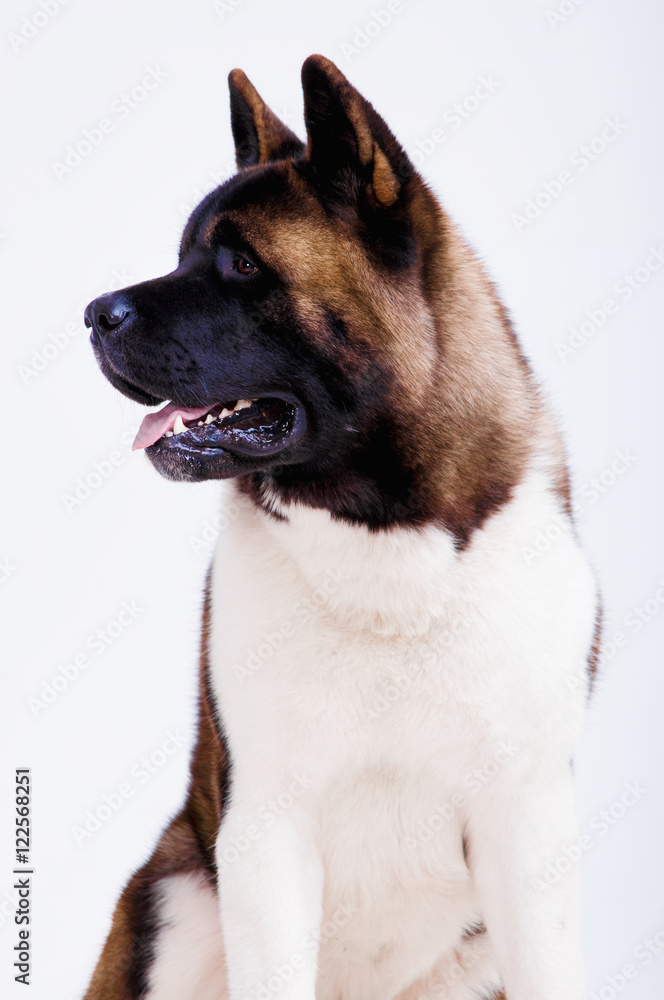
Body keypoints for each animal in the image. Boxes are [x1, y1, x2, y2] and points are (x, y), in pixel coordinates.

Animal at [80, 54, 600, 1000]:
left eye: (241, 263)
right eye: (186, 256)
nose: (95, 313)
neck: (381, 527)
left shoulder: (528, 831)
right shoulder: (264, 836)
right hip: (177, 895)